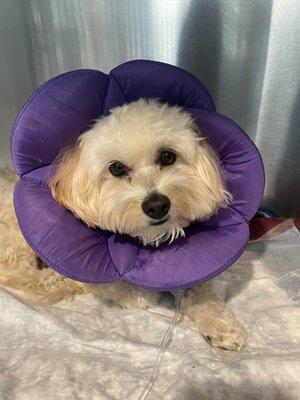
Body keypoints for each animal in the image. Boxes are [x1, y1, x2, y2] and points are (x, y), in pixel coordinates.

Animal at [0, 99, 247, 350]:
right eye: (116, 168)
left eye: (168, 156)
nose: (157, 205)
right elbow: (109, 284)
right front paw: (137, 294)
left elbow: (202, 292)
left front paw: (221, 325)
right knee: (16, 275)